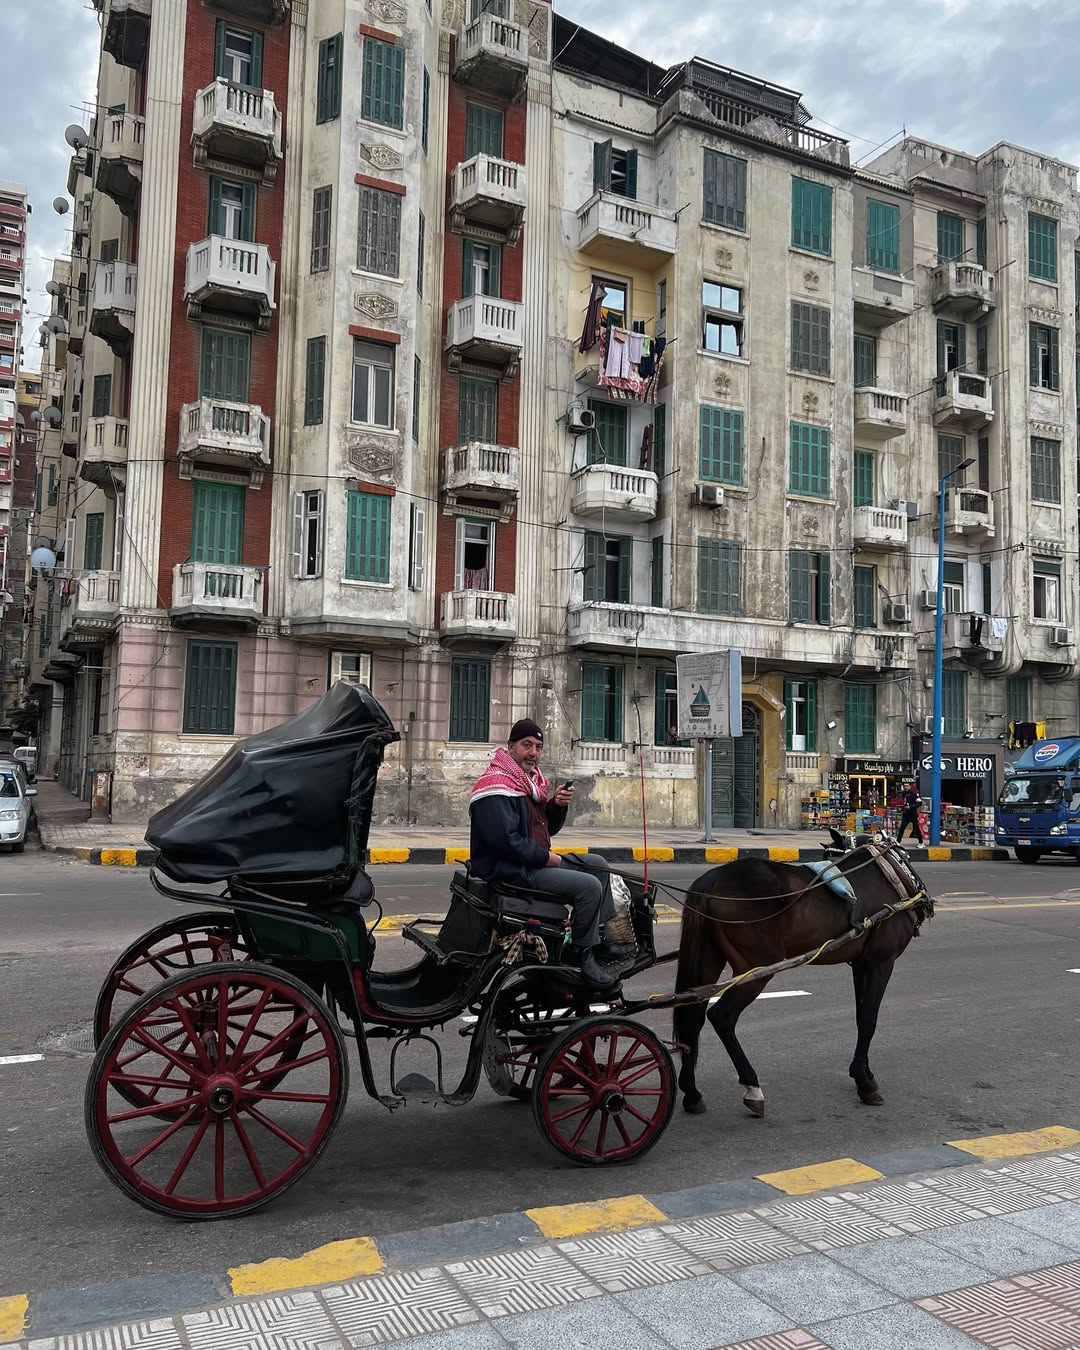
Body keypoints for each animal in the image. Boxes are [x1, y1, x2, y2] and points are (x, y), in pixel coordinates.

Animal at [675, 842, 928, 1117]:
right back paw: (752, 1087)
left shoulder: (861, 964)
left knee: (693, 1016)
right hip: (757, 967)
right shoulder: (880, 962)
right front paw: (865, 1083)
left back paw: (692, 1093)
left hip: (709, 959)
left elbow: (861, 1017)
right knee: (722, 1016)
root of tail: (713, 879)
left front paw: (865, 1073)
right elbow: (869, 1020)